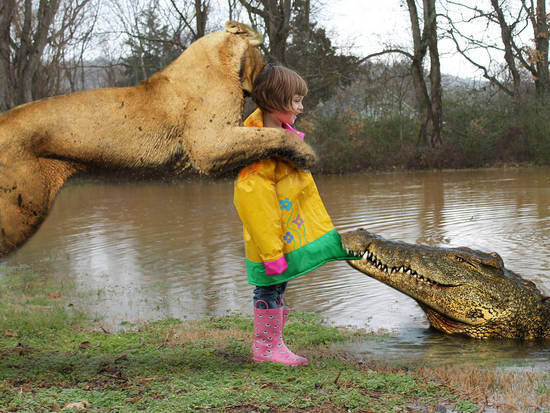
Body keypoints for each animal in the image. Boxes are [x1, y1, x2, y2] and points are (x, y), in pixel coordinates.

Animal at [0, 21, 316, 258]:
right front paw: (306, 153)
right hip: (20, 209)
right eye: (262, 57)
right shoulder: (209, 144)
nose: (273, 70)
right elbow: (272, 133)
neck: (223, 59)